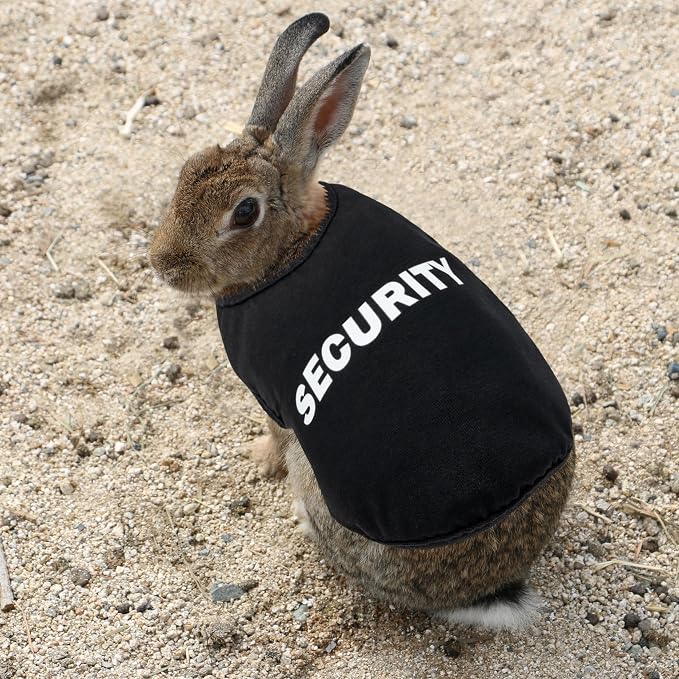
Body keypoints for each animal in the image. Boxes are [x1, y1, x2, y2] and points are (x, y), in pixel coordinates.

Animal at [149, 12, 575, 630]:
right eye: (187, 169)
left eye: (245, 211)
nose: (161, 263)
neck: (291, 247)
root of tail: (488, 588)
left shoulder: (269, 393)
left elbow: (274, 434)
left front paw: (256, 462)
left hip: (321, 482)